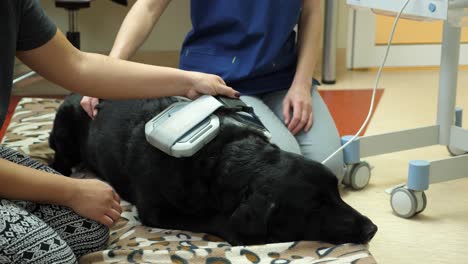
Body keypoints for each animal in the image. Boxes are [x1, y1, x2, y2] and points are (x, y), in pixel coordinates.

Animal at [49, 94, 376, 245]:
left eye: (337, 193)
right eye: (315, 206)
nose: (372, 228)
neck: (219, 156)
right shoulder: (158, 212)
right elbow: (215, 220)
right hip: (63, 129)